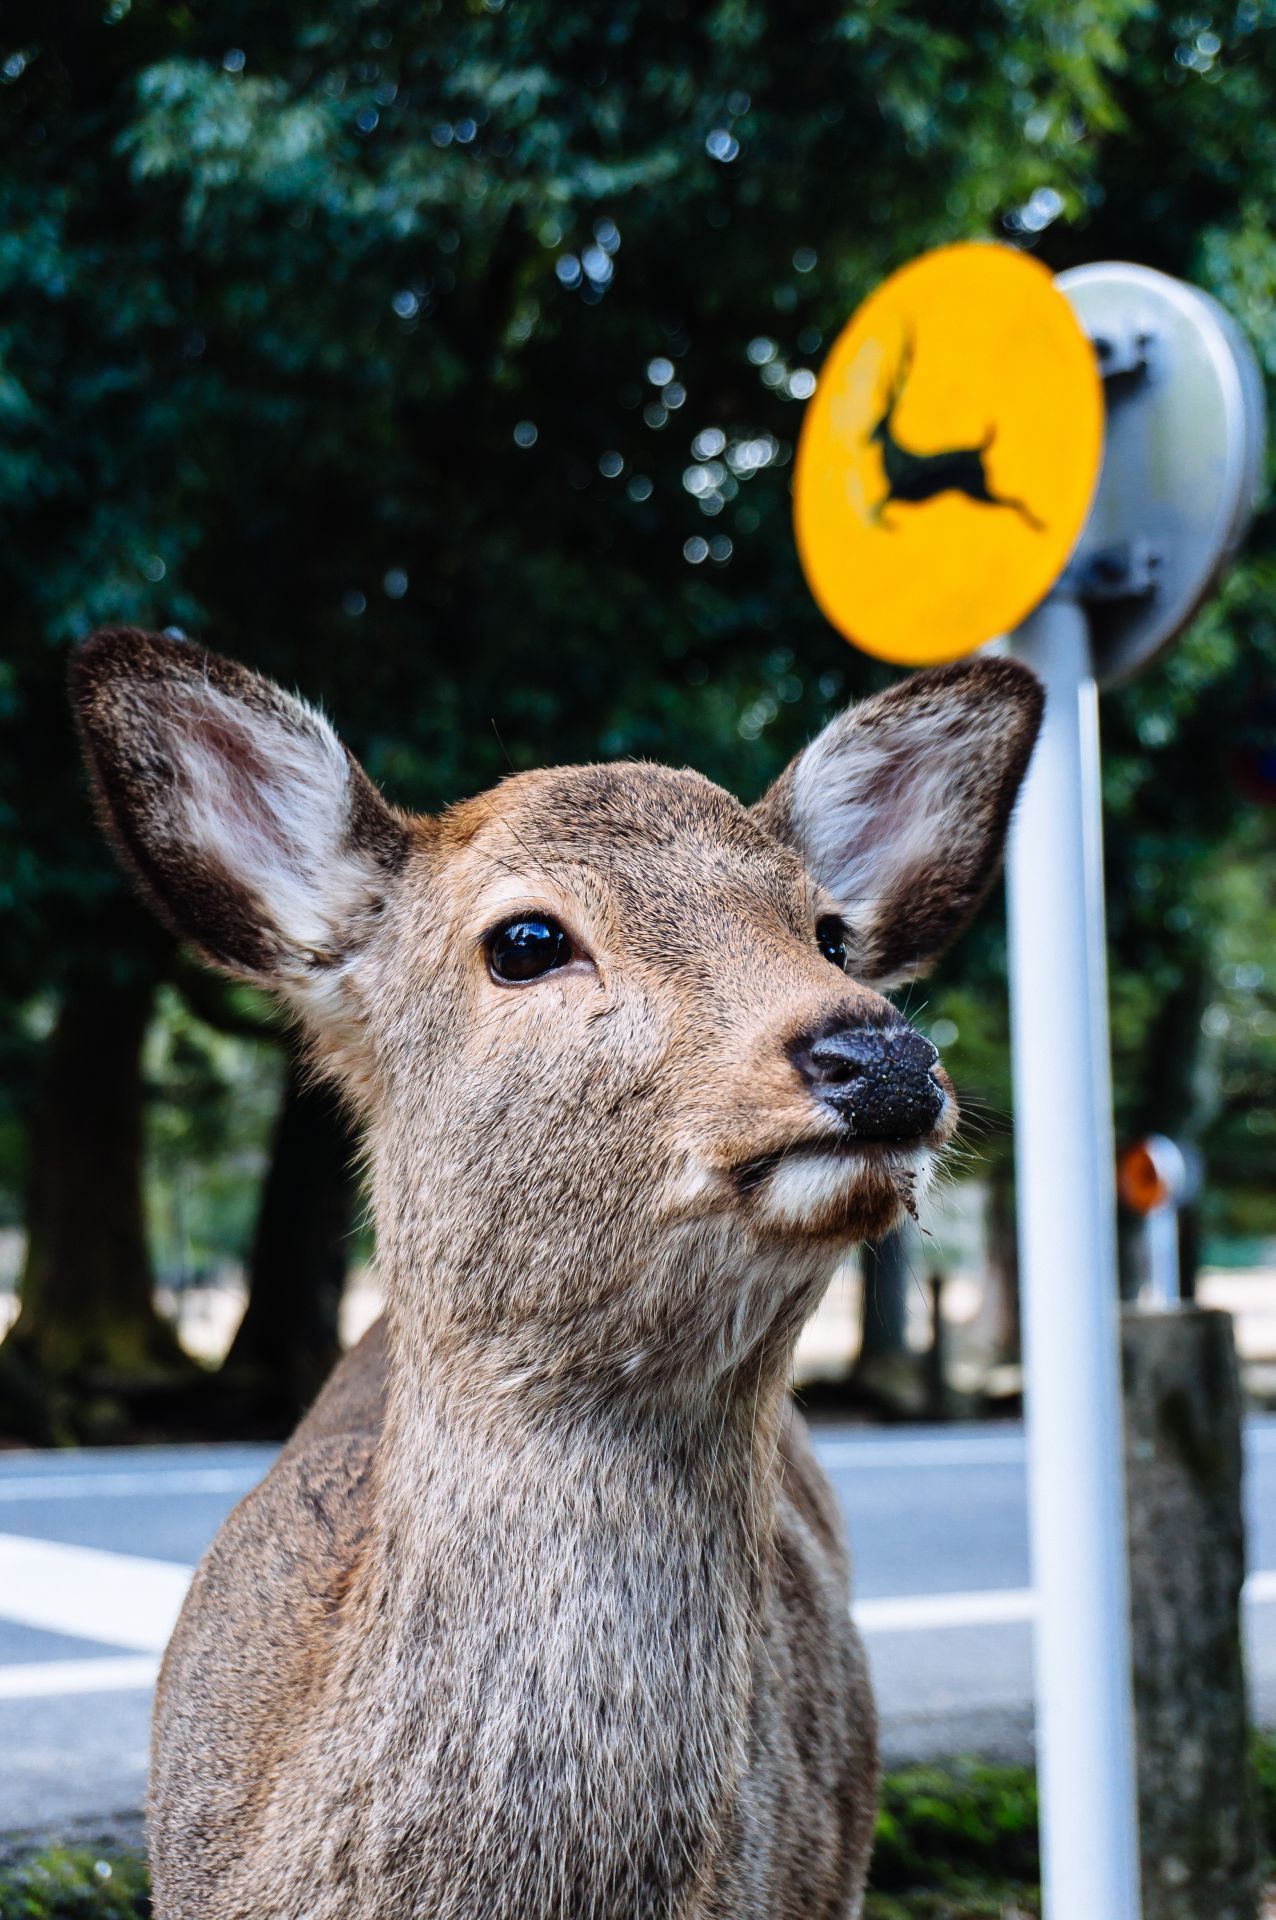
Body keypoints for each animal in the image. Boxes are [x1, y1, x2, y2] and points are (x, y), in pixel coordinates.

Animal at [871, 324, 1043, 529]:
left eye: (879, 424)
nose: (865, 439)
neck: (894, 463)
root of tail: (980, 449)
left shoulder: (896, 492)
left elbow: (876, 509)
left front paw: (891, 526)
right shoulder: (895, 494)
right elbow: (875, 509)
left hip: (976, 490)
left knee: (1014, 501)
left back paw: (1039, 526)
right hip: (977, 489)